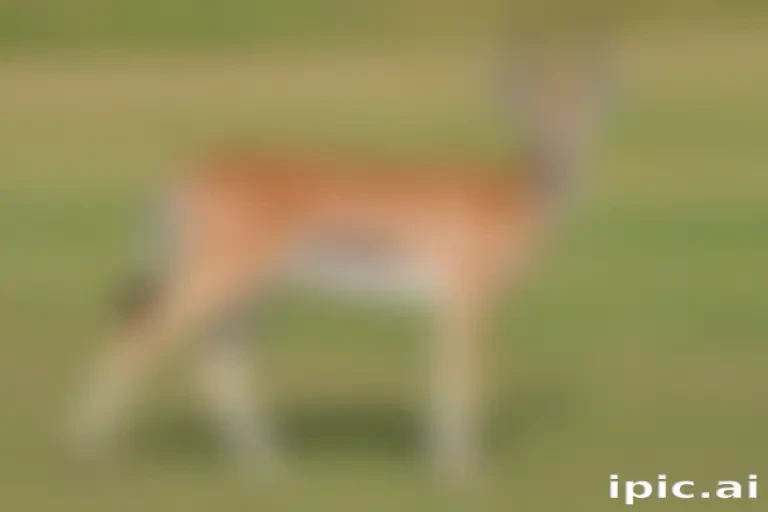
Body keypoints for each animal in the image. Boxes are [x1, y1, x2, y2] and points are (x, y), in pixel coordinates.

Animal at [71, 47, 611, 479]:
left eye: (584, 109)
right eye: (529, 108)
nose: (557, 155)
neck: (505, 198)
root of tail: (189, 172)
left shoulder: (445, 306)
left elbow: (439, 376)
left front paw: (438, 462)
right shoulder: (468, 298)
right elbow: (463, 376)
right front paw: (462, 470)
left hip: (257, 289)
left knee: (218, 355)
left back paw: (266, 463)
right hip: (219, 274)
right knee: (142, 331)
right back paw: (88, 450)